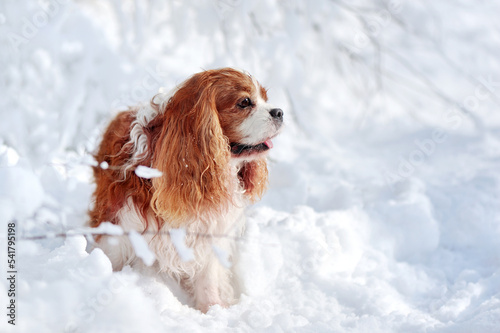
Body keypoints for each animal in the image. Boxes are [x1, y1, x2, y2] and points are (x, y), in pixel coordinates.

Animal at [89, 67, 282, 312]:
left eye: (265, 98)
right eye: (245, 102)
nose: (279, 112)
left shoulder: (207, 231)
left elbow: (208, 276)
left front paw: (212, 309)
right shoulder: (119, 223)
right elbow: (113, 257)